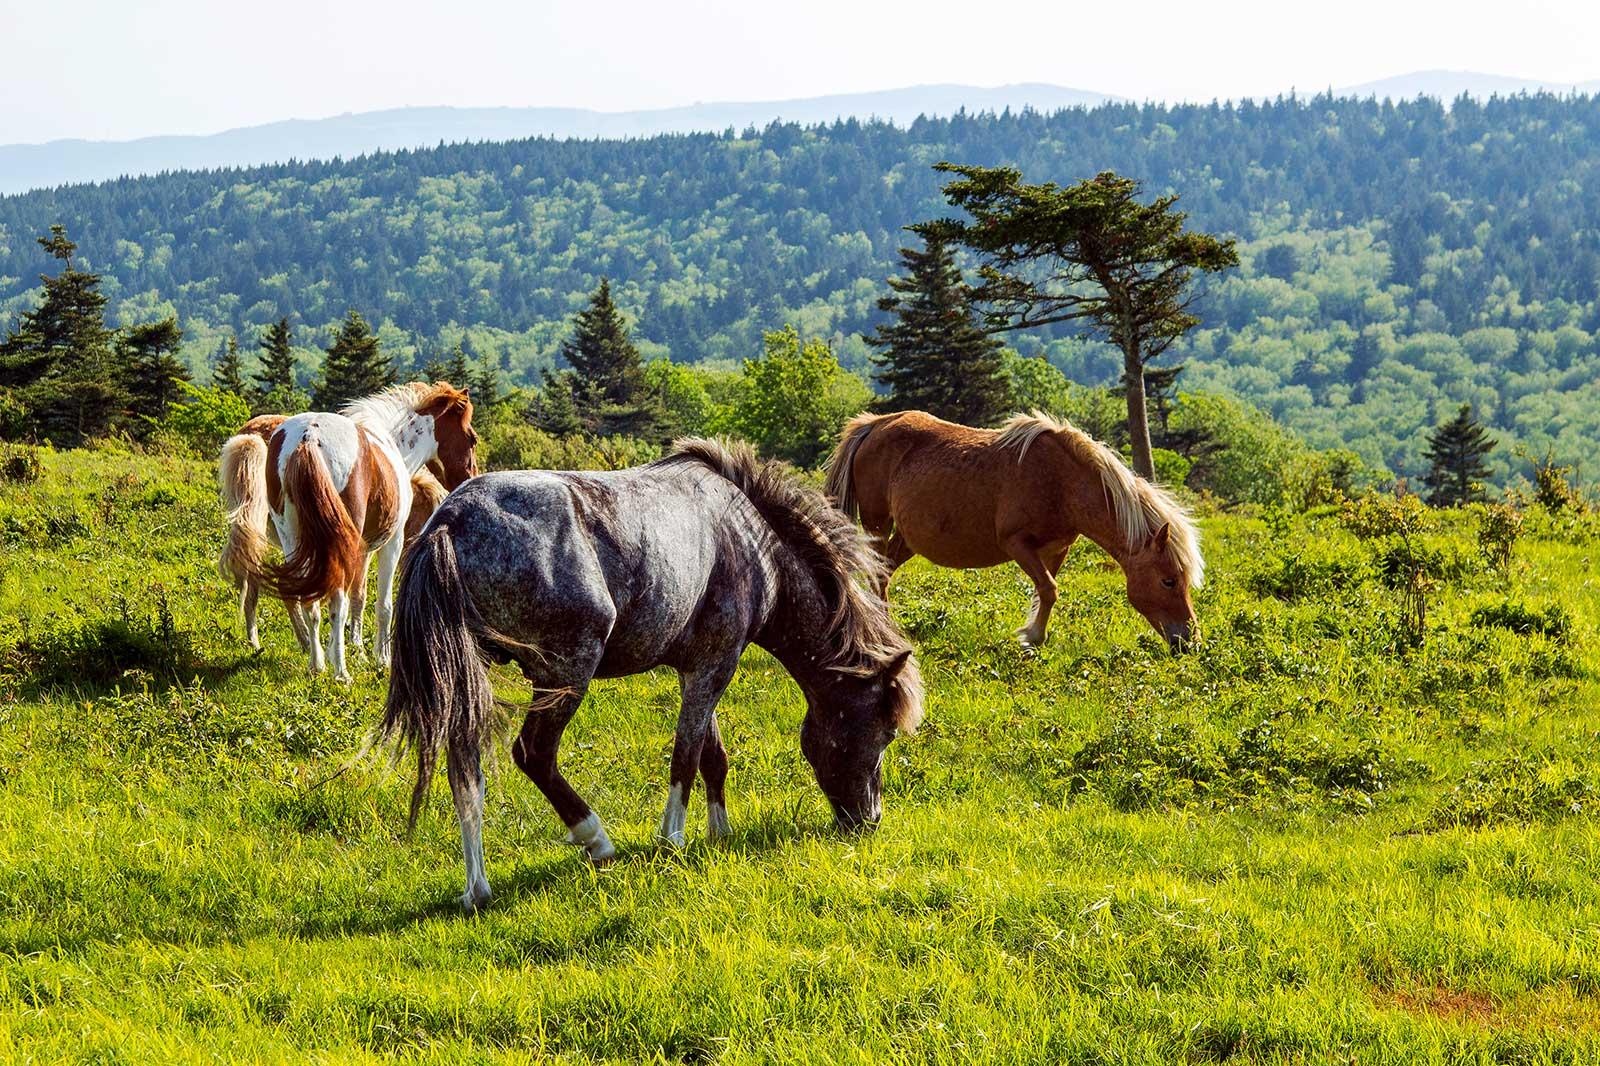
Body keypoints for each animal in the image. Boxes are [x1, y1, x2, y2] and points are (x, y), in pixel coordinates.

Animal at [221, 382, 478, 680]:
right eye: (472, 439)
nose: (471, 477)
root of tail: (308, 437)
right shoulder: (391, 543)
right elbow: (382, 605)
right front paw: (380, 658)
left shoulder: (363, 549)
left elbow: (359, 596)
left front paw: (356, 648)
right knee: (334, 603)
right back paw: (339, 671)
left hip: (292, 540)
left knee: (304, 600)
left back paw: (315, 661)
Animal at [380, 438, 924, 912]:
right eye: (883, 732)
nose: (869, 821)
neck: (749, 539)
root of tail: (450, 522)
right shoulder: (714, 666)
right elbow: (685, 756)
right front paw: (673, 840)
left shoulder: (698, 668)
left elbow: (712, 756)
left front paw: (719, 834)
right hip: (566, 671)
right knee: (533, 754)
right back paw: (596, 840)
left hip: (469, 680)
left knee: (465, 775)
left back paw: (477, 888)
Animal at [825, 410, 1204, 651]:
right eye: (1168, 580)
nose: (1190, 642)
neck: (1062, 482)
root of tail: (874, 425)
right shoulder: (1017, 543)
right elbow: (1049, 590)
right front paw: (1032, 637)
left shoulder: (1056, 549)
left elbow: (1044, 592)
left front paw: (1035, 634)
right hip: (877, 523)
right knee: (878, 574)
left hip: (908, 538)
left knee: (885, 572)